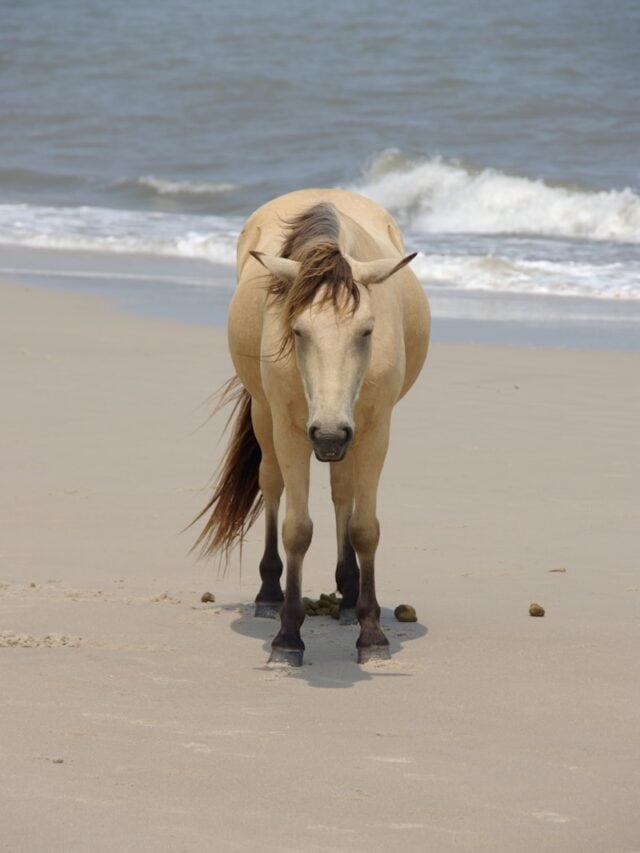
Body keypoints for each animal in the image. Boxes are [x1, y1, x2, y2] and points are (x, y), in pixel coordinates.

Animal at [194, 189, 430, 665]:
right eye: (299, 331)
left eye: (367, 330)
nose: (329, 434)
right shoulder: (289, 430)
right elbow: (296, 529)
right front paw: (288, 638)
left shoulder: (373, 431)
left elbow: (364, 527)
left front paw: (371, 634)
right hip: (266, 417)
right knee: (271, 484)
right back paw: (269, 594)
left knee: (343, 494)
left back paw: (349, 594)